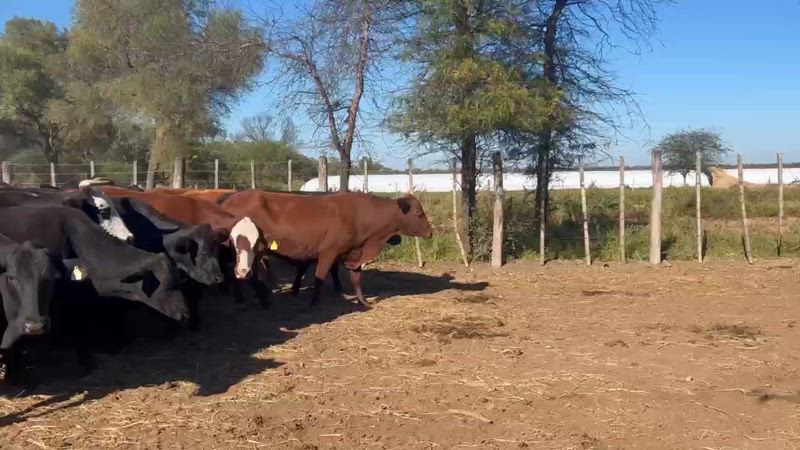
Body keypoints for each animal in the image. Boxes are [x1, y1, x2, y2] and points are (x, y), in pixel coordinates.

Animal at [221, 190, 433, 308]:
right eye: (418, 212)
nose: (431, 232)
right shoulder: (329, 251)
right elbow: (320, 277)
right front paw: (313, 303)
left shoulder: (354, 251)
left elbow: (356, 279)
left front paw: (363, 301)